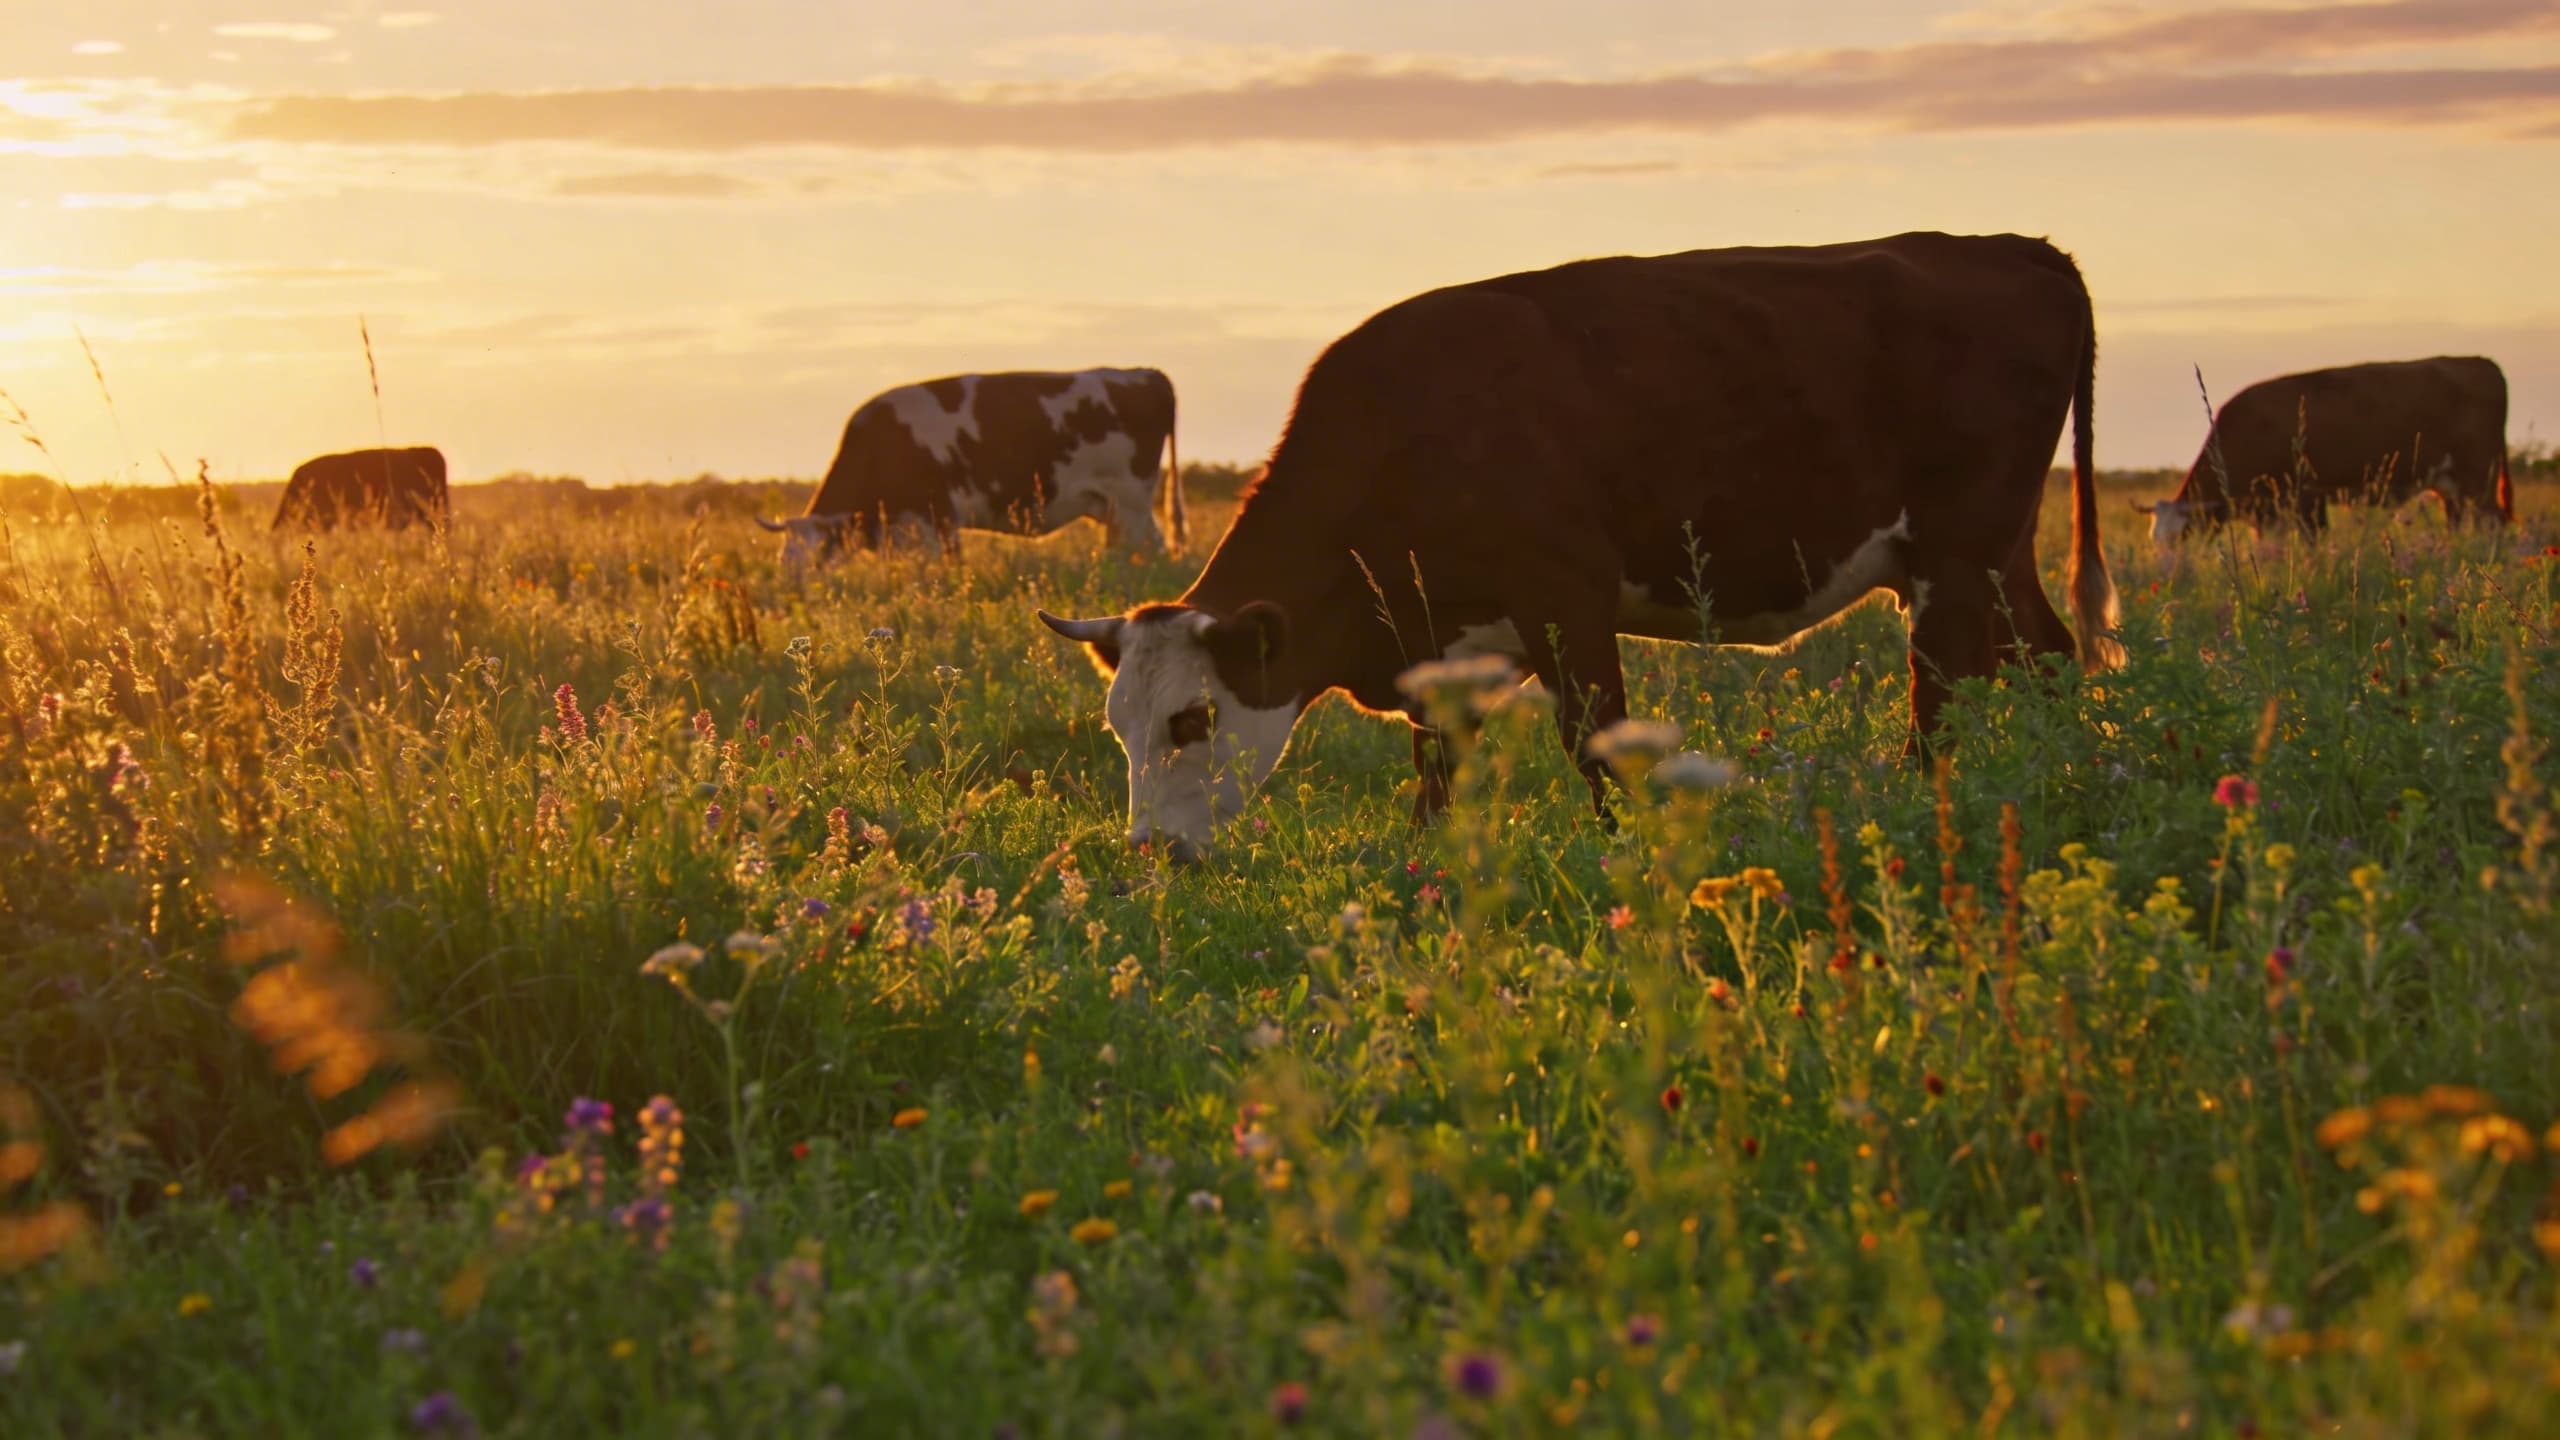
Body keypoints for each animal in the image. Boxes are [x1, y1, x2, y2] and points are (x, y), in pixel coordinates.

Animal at [760, 367, 1183, 569]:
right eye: (783, 560)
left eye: (817, 555)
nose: (798, 594)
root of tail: (1143, 373)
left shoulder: (934, 520)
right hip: (1121, 507)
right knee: (1154, 545)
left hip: (1128, 502)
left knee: (1135, 549)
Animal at [1036, 231, 2122, 857]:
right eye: (1115, 726)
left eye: (1191, 720)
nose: (1146, 852)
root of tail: (2020, 247)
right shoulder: (1448, 650)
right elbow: (1435, 786)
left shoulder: (1568, 598)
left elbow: (1597, 746)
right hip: (1996, 557)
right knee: (2050, 657)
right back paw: (2070, 777)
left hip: (1955, 560)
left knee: (1939, 708)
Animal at [2136, 356, 2513, 544]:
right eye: (2155, 541)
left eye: (2182, 537)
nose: (2169, 577)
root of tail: (2482, 362)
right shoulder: (2266, 509)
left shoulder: (2308, 496)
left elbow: (2311, 541)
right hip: (2450, 481)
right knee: (2458, 520)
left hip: (2477, 476)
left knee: (2492, 521)